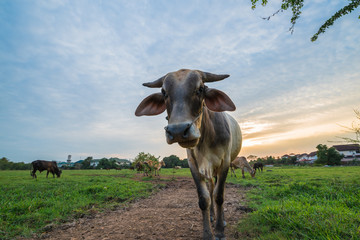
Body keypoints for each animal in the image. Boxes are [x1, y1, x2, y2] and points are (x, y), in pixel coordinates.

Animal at [135, 68, 242, 239]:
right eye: (164, 92)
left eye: (200, 89)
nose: (177, 131)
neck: (205, 139)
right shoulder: (193, 164)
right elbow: (204, 199)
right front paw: (208, 233)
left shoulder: (224, 162)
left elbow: (219, 196)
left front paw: (219, 230)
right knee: (211, 188)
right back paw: (212, 216)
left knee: (217, 191)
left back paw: (221, 219)